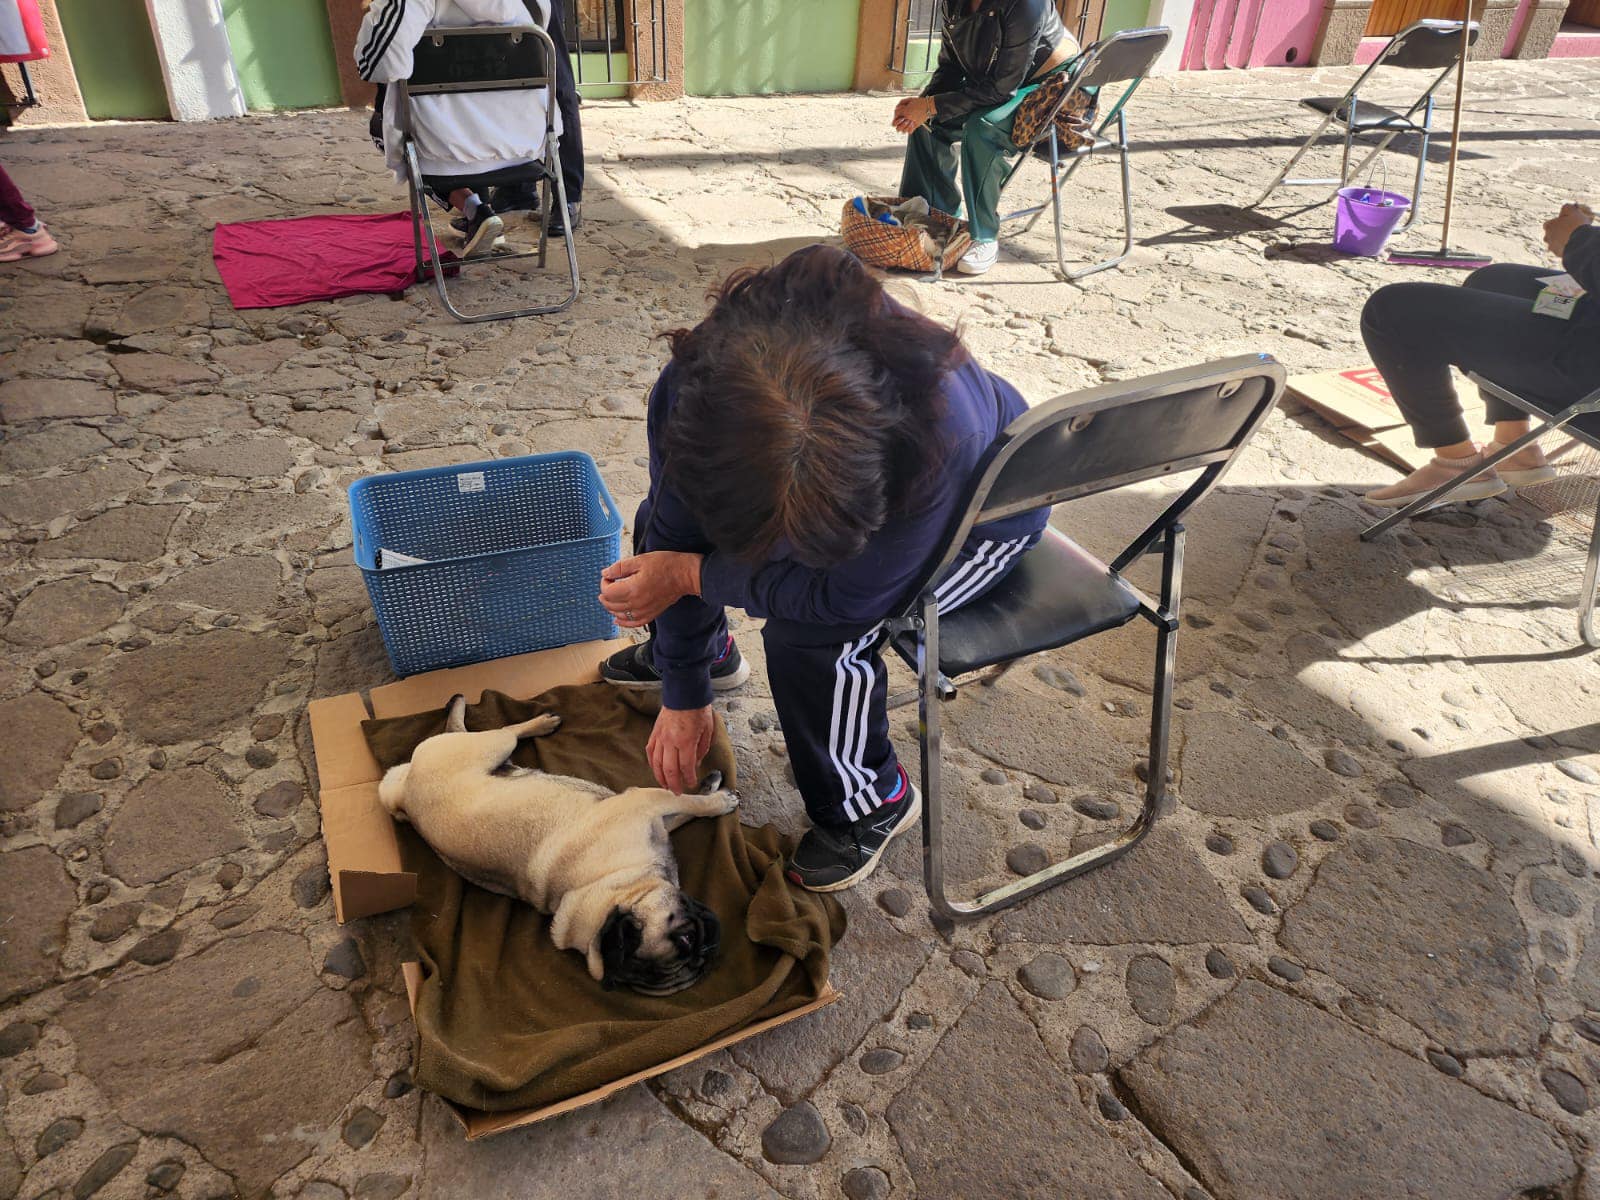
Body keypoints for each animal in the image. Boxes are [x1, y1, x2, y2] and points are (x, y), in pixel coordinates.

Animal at [380, 694, 736, 998]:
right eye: (687, 939)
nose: (707, 954)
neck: (613, 882)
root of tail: (404, 794)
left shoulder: (649, 809)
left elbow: (683, 808)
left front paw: (708, 791)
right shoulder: (644, 801)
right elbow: (685, 803)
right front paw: (719, 801)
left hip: (488, 750)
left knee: (489, 731)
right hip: (489, 746)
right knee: (503, 730)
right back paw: (539, 722)